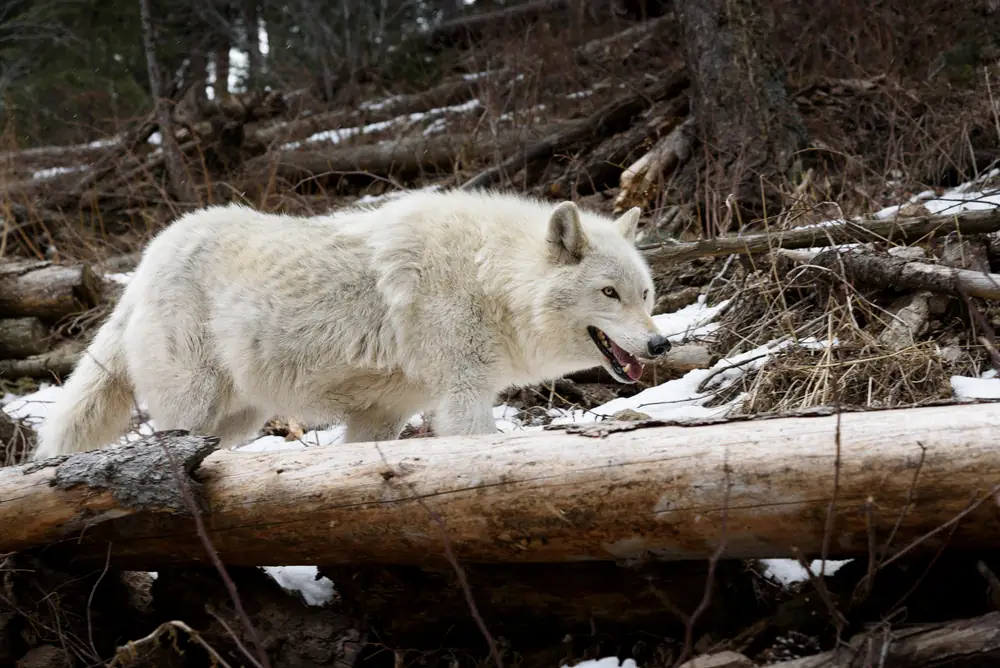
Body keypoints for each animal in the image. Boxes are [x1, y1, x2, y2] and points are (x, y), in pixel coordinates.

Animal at [33, 189, 671, 459]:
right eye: (608, 293)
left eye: (644, 294)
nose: (661, 343)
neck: (489, 275)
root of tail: (150, 255)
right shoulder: (463, 398)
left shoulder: (381, 416)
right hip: (195, 405)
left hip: (238, 419)